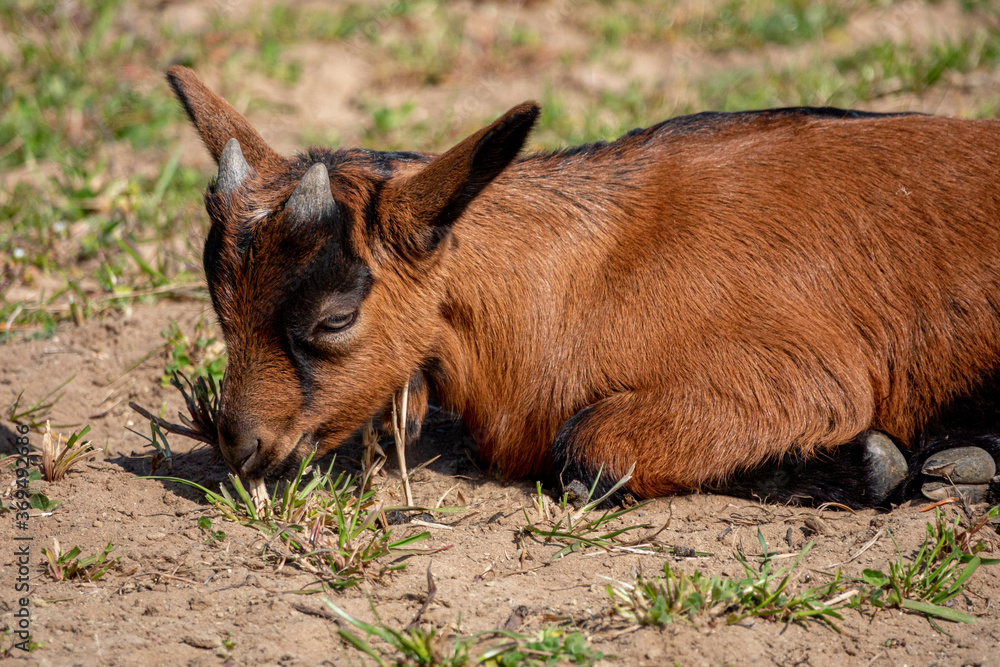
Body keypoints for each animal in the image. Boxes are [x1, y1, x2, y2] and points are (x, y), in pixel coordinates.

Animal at [167, 66, 1000, 508]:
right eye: (221, 305)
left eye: (335, 318)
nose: (242, 445)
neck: (584, 277)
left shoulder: (798, 374)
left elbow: (586, 446)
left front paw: (858, 462)